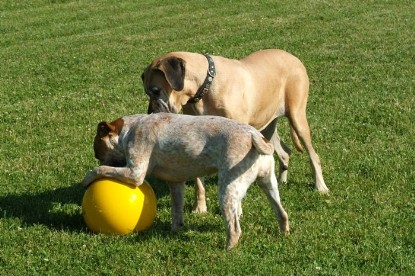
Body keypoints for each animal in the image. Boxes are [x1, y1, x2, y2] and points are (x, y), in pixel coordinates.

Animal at [81, 111, 290, 248]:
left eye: (97, 152)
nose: (97, 156)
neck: (130, 129)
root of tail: (254, 135)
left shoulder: (135, 173)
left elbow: (100, 169)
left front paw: (87, 178)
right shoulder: (176, 184)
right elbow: (177, 213)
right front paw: (175, 231)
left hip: (227, 191)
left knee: (234, 229)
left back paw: (227, 250)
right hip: (269, 185)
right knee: (282, 213)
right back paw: (284, 235)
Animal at [141, 49, 330, 212]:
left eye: (155, 91)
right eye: (147, 93)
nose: (149, 113)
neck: (205, 87)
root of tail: (292, 56)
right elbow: (198, 182)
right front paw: (199, 208)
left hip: (297, 118)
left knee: (313, 156)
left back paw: (320, 186)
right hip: (266, 127)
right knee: (284, 152)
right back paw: (281, 180)